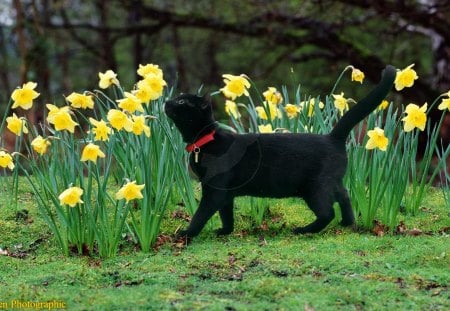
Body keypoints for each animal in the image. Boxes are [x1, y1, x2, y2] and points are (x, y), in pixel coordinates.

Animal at [164, 66, 394, 239]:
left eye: (182, 101)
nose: (167, 101)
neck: (205, 140)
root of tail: (332, 137)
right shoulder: (226, 193)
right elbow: (226, 214)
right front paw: (225, 231)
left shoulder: (215, 190)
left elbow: (201, 214)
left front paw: (186, 234)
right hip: (331, 182)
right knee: (344, 196)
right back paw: (347, 222)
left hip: (315, 188)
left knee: (327, 212)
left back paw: (303, 230)